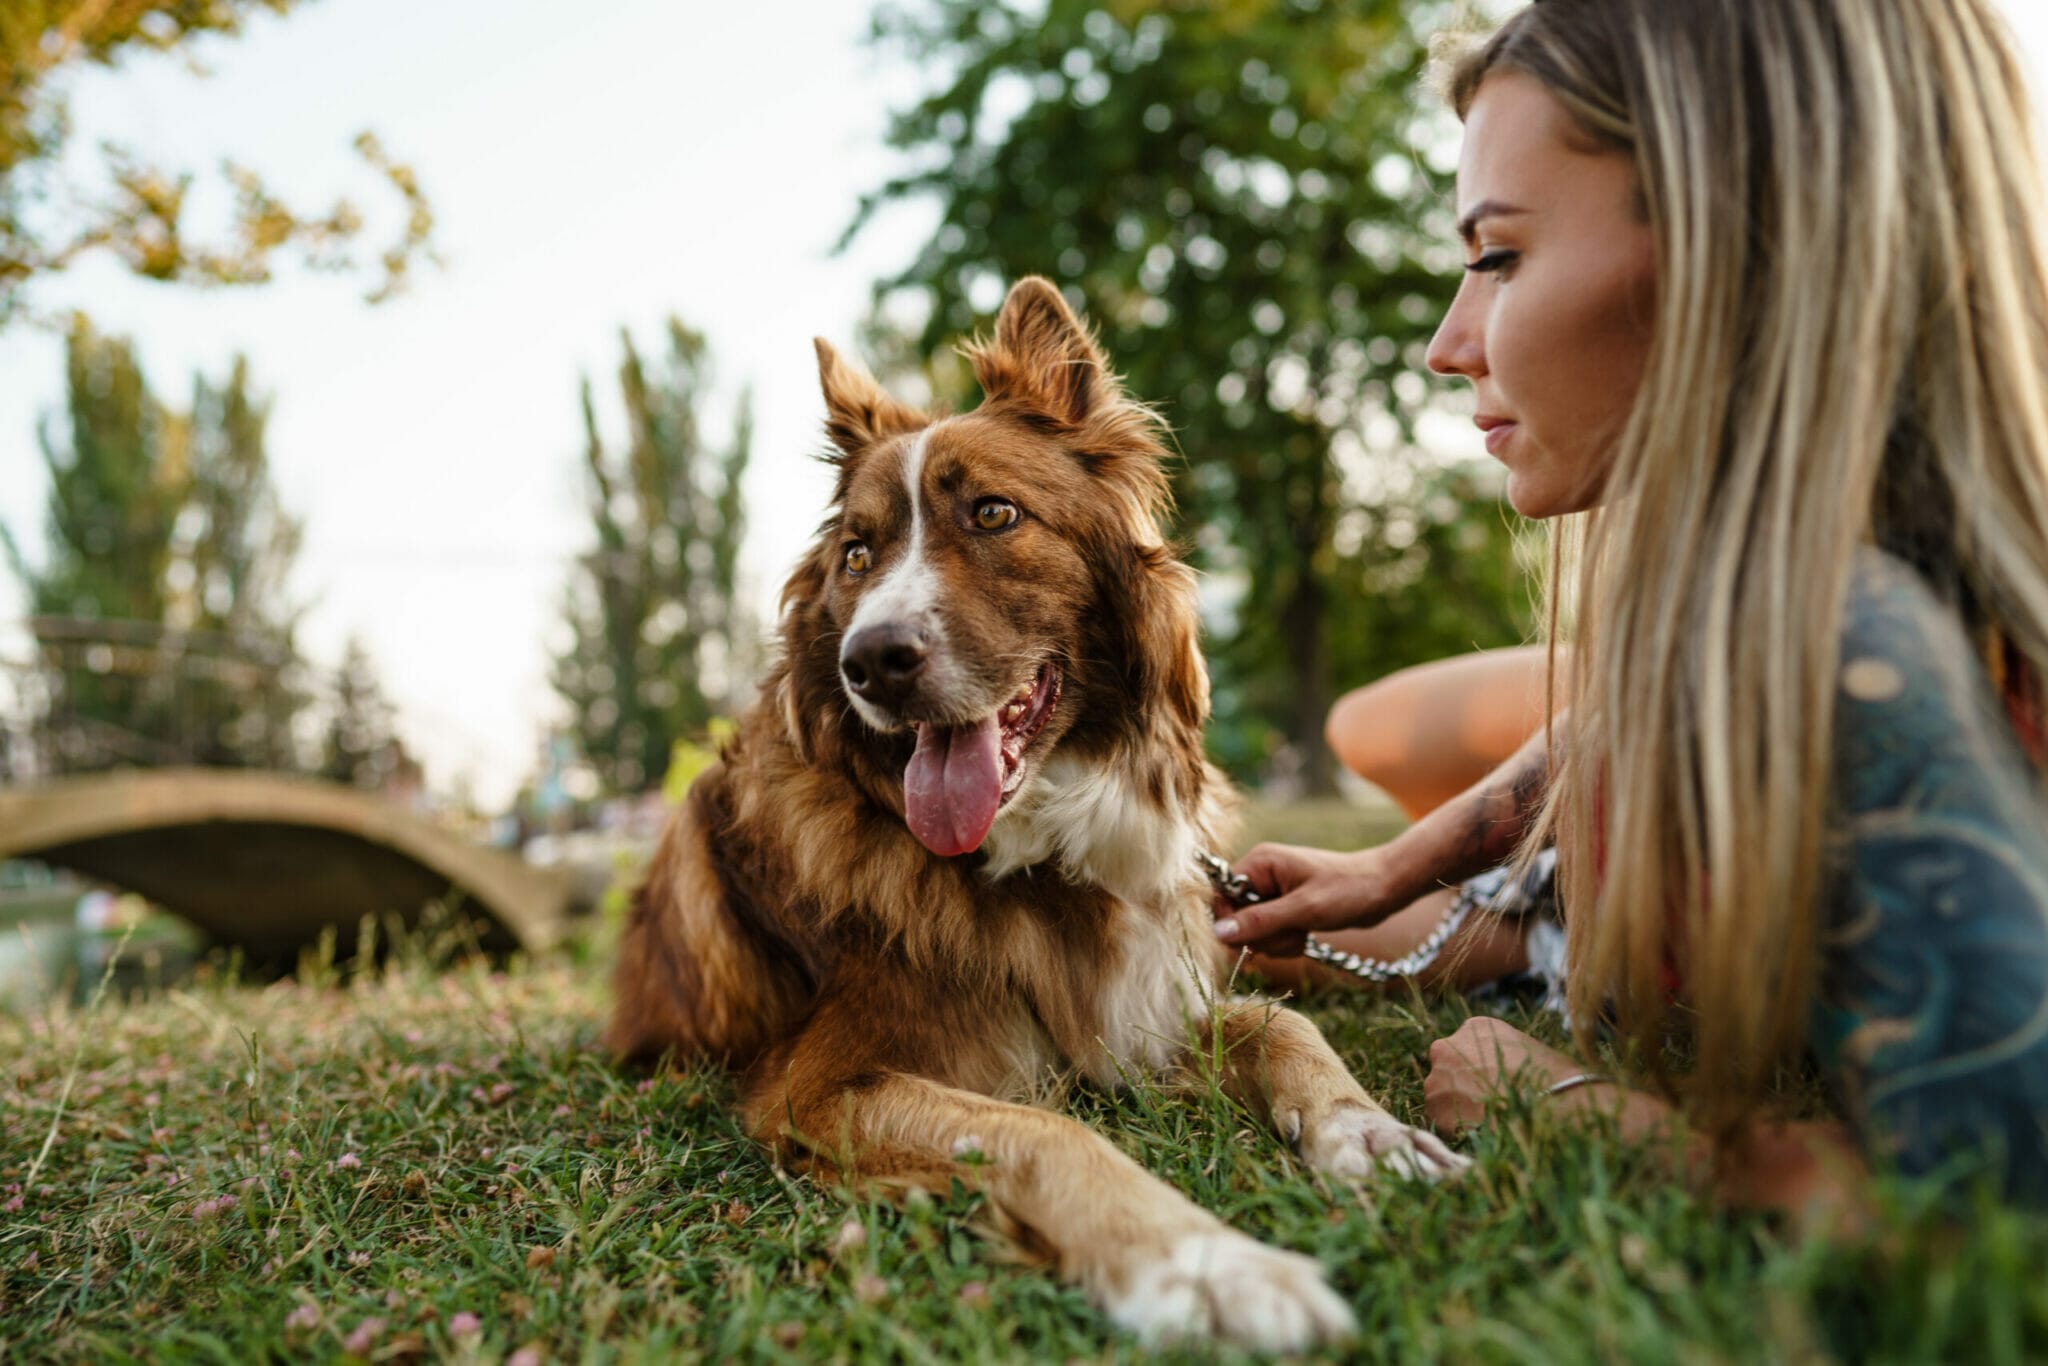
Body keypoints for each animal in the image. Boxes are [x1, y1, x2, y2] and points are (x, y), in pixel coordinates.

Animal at [598, 278, 1466, 1359]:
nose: (869, 661)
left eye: (993, 513)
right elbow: (1048, 1131)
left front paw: (1371, 1134)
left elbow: (1284, 1026)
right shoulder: (815, 1086)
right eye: (856, 553)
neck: (1032, 849)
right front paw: (1208, 1265)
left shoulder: (1150, 1001)